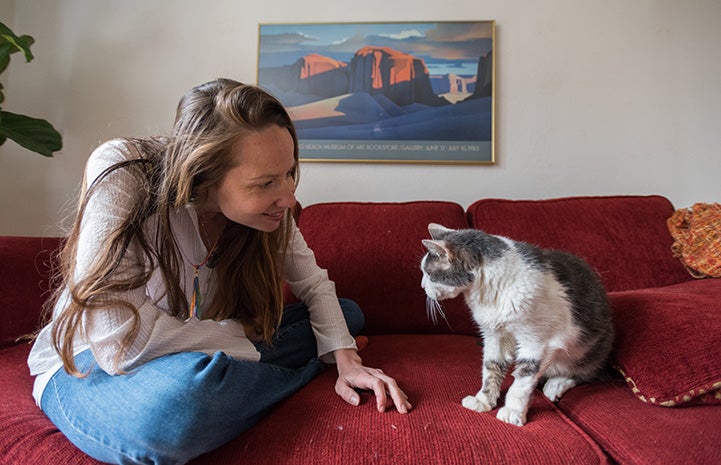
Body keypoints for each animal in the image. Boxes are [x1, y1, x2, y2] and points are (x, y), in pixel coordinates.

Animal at [422, 223, 612, 426]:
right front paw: (483, 400)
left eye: (429, 273)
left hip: (587, 350)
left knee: (589, 373)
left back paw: (556, 384)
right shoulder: (494, 335)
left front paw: (513, 410)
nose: (423, 286)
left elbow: (524, 378)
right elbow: (491, 367)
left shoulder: (537, 341)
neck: (489, 293)